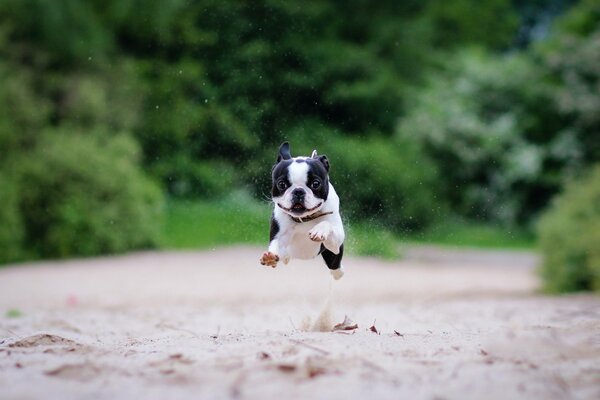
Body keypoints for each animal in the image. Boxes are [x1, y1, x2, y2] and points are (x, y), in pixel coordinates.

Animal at [258, 142, 346, 280]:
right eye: (282, 184)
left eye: (316, 184)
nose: (298, 191)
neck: (304, 218)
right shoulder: (279, 238)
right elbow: (276, 247)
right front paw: (270, 257)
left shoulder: (337, 240)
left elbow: (327, 224)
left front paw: (319, 231)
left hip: (333, 255)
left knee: (336, 268)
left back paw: (337, 273)